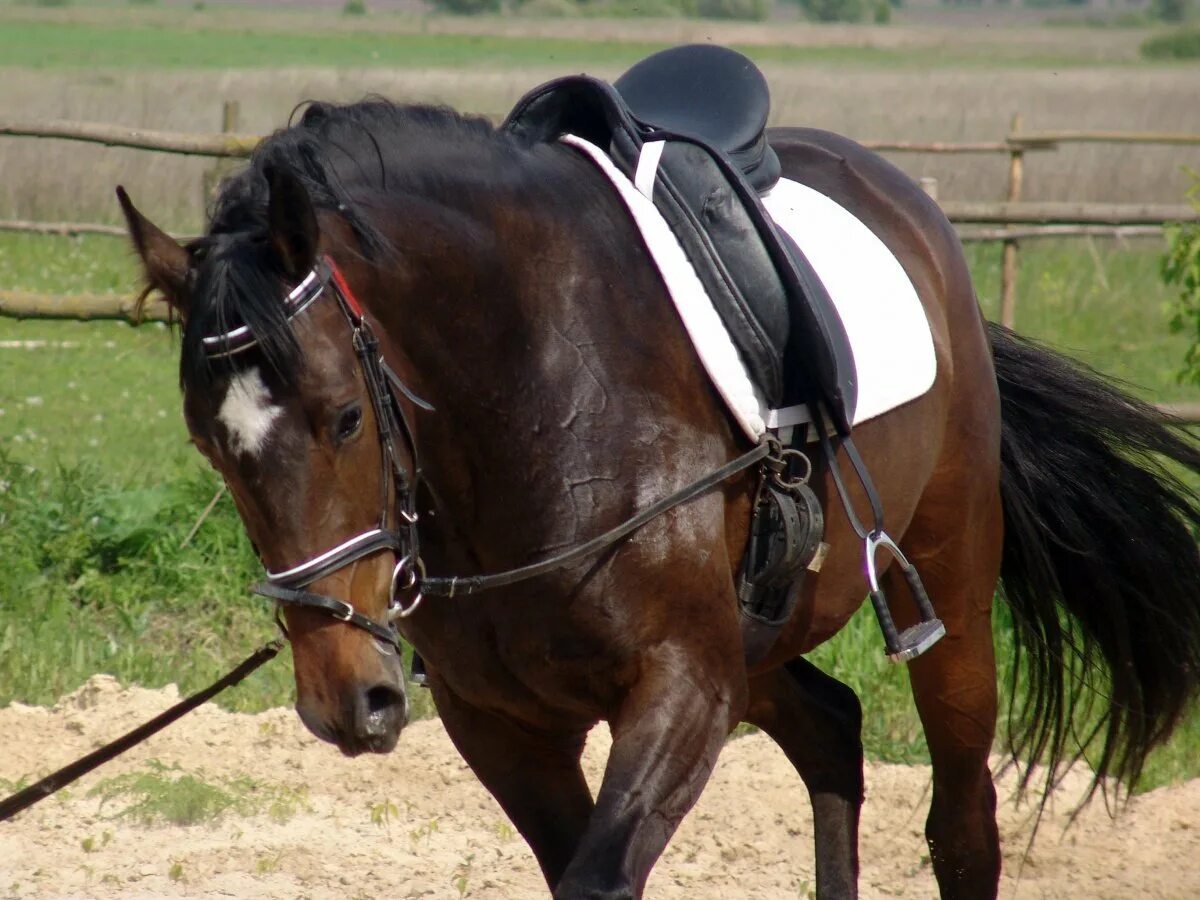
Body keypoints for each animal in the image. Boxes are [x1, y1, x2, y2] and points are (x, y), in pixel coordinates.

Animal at [114, 95, 1200, 897]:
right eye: (209, 444)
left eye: (344, 418)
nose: (348, 700)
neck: (536, 400)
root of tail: (912, 209)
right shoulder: (503, 723)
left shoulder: (683, 687)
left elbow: (602, 880)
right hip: (761, 636)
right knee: (831, 732)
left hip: (948, 603)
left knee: (962, 826)